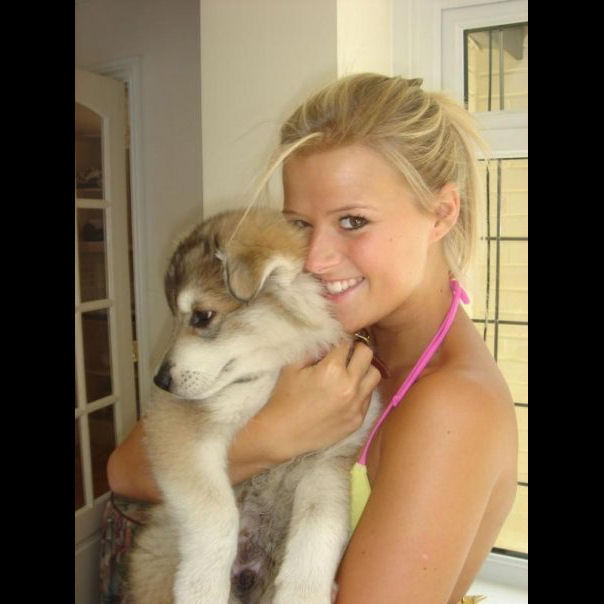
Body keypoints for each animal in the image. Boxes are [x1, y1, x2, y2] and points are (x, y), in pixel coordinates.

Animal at [127, 208, 381, 603]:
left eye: (202, 316)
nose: (161, 382)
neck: (275, 369)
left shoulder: (329, 461)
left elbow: (318, 524)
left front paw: (304, 593)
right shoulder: (177, 424)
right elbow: (217, 512)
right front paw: (202, 588)